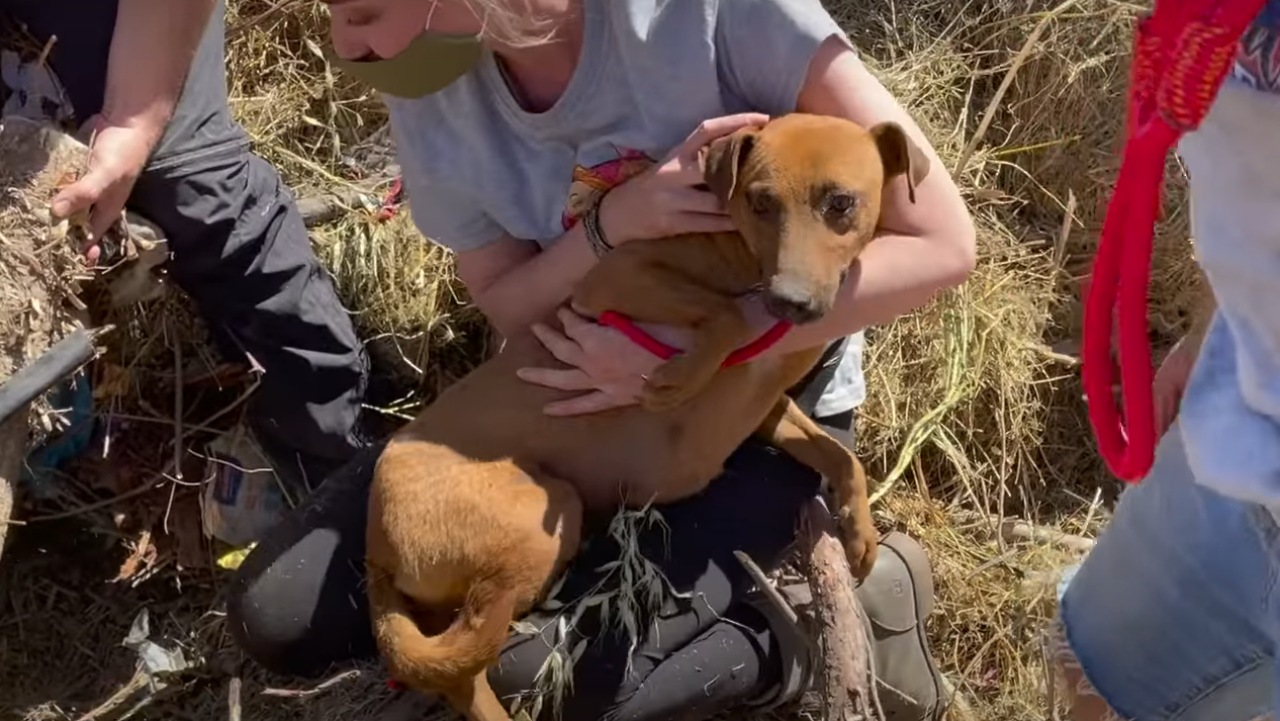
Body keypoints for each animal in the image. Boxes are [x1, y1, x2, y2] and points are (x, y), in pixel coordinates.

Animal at [366, 112, 926, 721]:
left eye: (841, 203)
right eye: (760, 201)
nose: (788, 302)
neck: (744, 260)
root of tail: (375, 544)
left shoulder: (765, 408)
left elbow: (840, 454)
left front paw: (859, 530)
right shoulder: (612, 278)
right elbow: (726, 313)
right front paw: (684, 374)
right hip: (544, 508)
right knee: (470, 662)